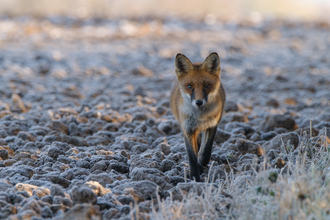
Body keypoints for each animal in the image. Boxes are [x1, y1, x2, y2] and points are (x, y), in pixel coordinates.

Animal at [171, 52, 226, 181]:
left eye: (206, 85)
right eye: (189, 86)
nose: (199, 102)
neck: (200, 117)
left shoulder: (212, 126)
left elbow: (206, 151)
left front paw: (202, 162)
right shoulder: (188, 130)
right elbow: (192, 157)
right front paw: (195, 177)